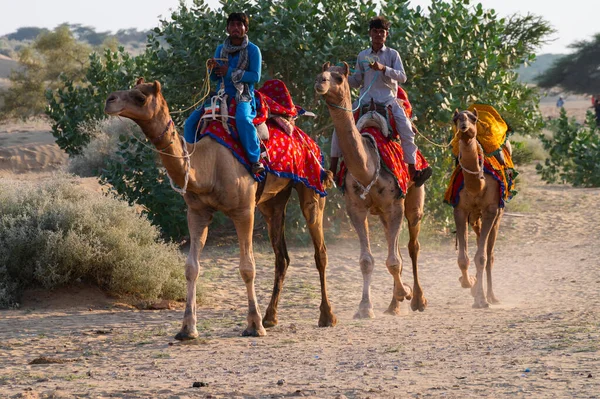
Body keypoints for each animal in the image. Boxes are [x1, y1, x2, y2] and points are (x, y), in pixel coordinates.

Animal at [104, 76, 338, 340]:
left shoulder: (244, 211)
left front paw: (253, 325)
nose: (109, 100)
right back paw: (270, 317)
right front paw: (187, 329)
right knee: (282, 257)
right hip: (272, 202)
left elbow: (247, 267)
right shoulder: (197, 212)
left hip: (312, 186)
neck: (208, 165)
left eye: (140, 97)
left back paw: (326, 316)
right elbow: (191, 267)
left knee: (320, 251)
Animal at [314, 63, 426, 318]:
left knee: (412, 247)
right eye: (322, 73)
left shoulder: (395, 206)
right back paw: (394, 304)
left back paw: (417, 299)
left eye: (338, 77)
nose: (320, 82)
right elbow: (367, 260)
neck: (369, 166)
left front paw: (405, 293)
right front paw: (365, 307)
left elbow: (394, 260)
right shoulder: (356, 208)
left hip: (414, 197)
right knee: (396, 248)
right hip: (383, 214)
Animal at [452, 109, 504, 310]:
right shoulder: (460, 210)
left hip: (497, 216)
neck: (477, 186)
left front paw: (481, 299)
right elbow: (463, 258)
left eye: (473, 118)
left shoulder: (491, 210)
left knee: (490, 254)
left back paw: (492, 296)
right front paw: (469, 283)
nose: (464, 127)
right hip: (475, 218)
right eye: (455, 119)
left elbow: (481, 257)